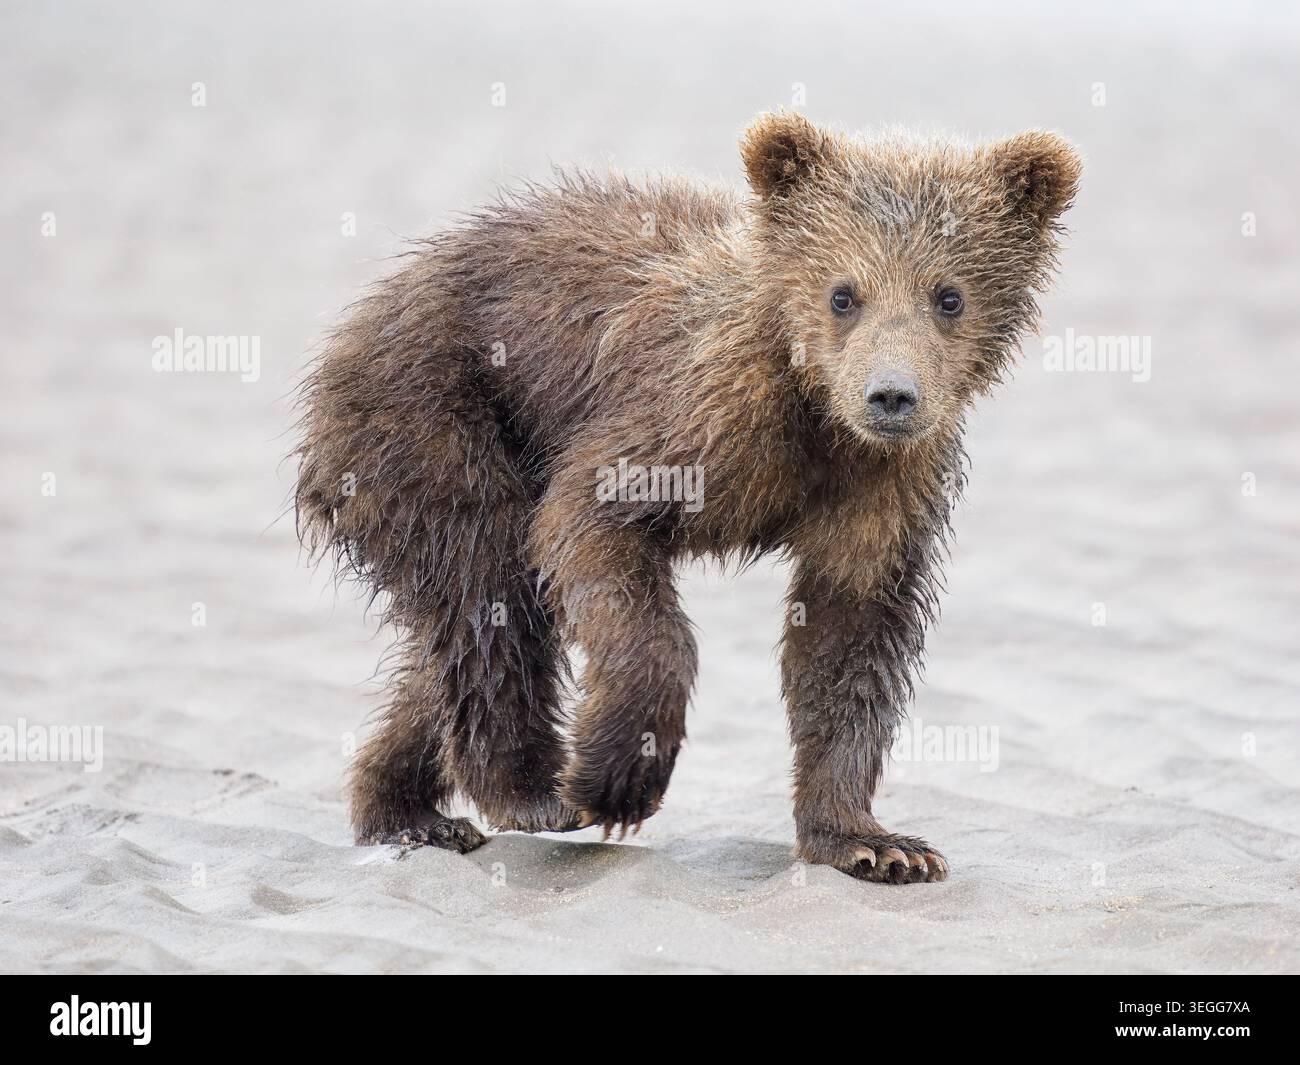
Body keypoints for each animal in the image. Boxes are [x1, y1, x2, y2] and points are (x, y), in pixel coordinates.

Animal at [295, 112, 1080, 883]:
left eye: (949, 296)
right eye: (843, 293)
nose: (891, 394)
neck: (815, 413)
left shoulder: (884, 484)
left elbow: (848, 631)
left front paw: (872, 841)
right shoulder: (693, 418)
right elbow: (591, 531)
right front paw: (621, 776)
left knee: (447, 639)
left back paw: (406, 809)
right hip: (432, 414)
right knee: (487, 584)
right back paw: (530, 789)